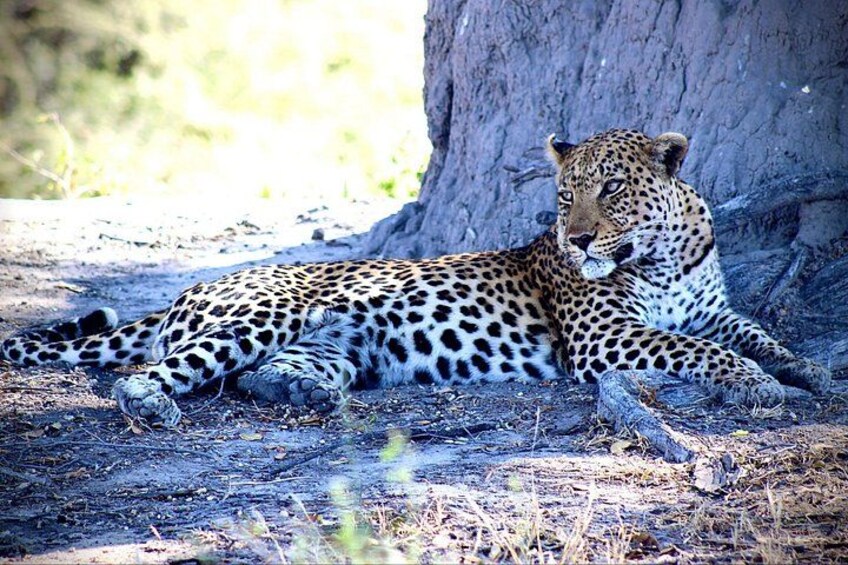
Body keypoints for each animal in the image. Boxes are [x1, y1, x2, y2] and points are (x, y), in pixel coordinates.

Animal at [1, 128, 831, 428]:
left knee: (259, 375)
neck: (662, 253)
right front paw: (755, 383)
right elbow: (701, 351)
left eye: (614, 188)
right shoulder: (606, 337)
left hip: (340, 345)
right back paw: (151, 403)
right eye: (566, 196)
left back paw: (305, 395)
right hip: (257, 317)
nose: (577, 236)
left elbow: (751, 330)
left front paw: (808, 370)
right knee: (148, 372)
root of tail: (192, 287)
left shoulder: (709, 308)